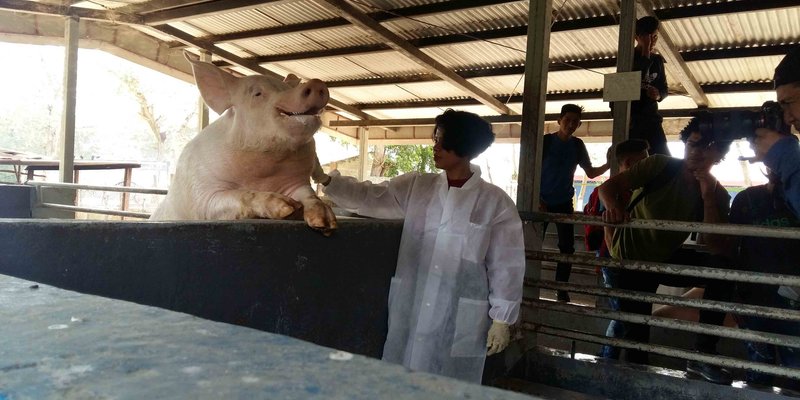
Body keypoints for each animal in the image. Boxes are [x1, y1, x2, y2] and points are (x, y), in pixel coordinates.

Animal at [150, 52, 338, 234]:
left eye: (287, 88)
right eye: (257, 94)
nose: (316, 83)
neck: (264, 172)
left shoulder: (298, 182)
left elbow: (309, 194)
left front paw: (325, 223)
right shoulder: (203, 196)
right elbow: (241, 195)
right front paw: (288, 206)